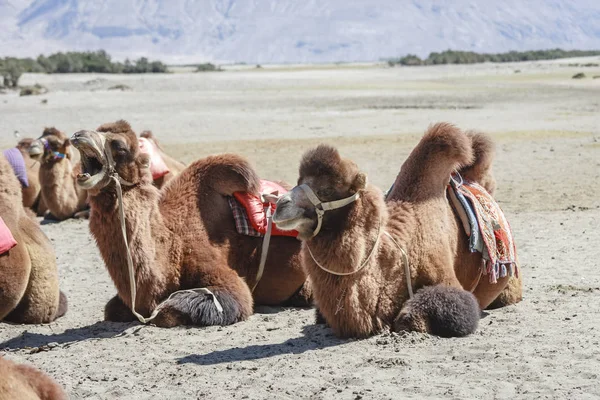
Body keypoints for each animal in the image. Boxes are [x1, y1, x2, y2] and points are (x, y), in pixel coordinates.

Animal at [272, 123, 520, 340]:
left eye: (326, 190)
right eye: (299, 181)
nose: (280, 205)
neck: (403, 252)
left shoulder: (444, 273)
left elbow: (427, 314)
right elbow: (320, 316)